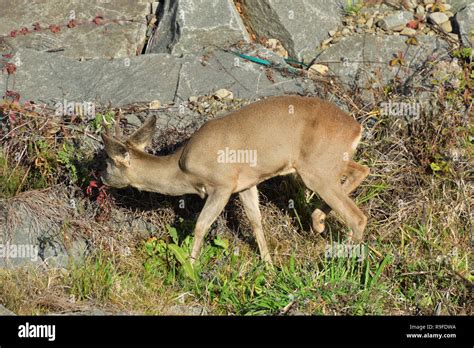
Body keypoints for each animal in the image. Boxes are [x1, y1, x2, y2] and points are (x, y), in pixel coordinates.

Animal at [101, 95, 370, 264]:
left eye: (108, 162)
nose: (102, 177)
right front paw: (269, 266)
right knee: (362, 170)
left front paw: (189, 269)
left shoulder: (222, 184)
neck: (182, 170)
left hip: (316, 169)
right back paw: (319, 221)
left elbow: (201, 225)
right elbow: (255, 221)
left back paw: (341, 262)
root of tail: (357, 128)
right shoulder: (246, 184)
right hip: (326, 163)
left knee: (357, 217)